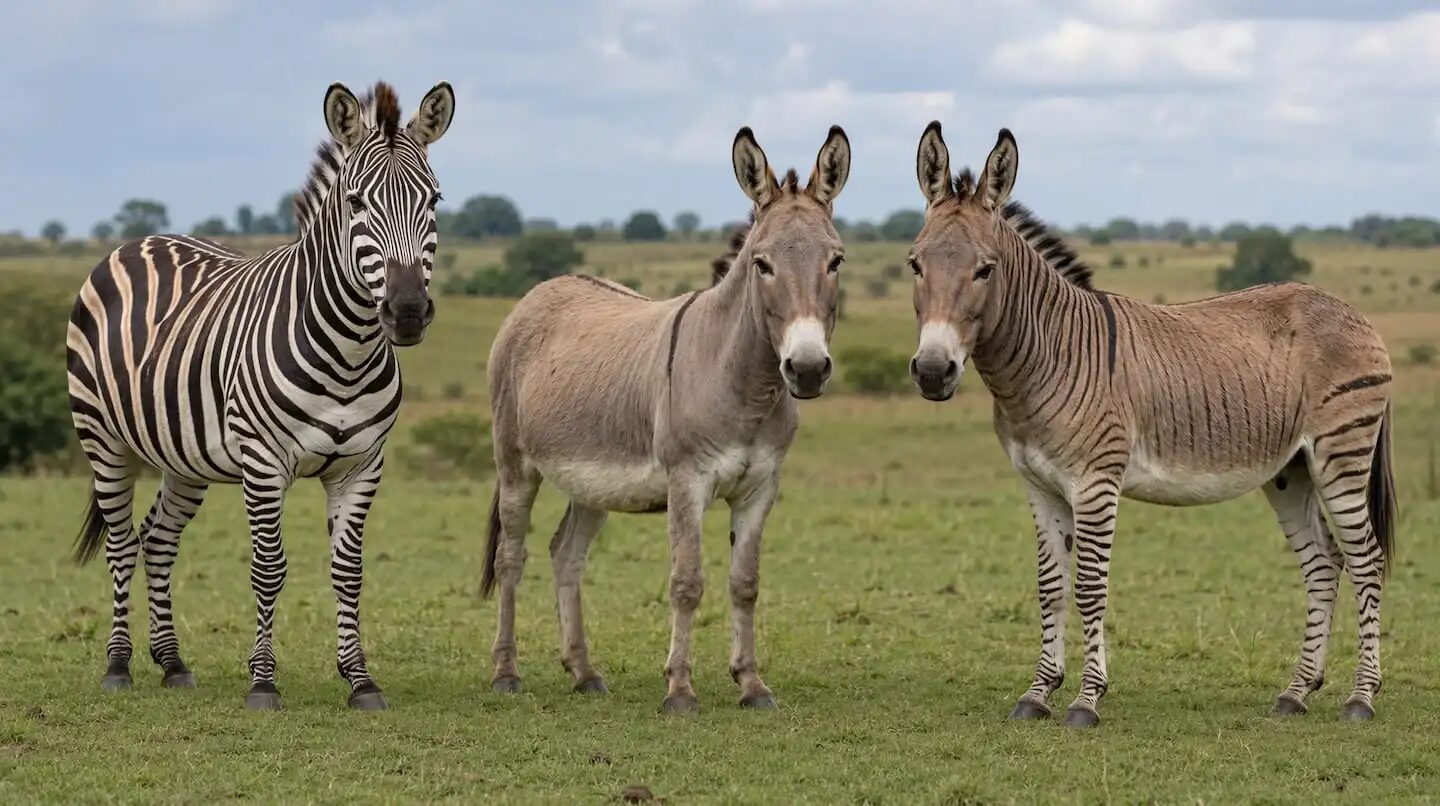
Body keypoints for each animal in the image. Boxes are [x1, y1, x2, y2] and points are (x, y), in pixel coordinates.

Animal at [66, 80, 455, 711]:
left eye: (435, 201)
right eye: (355, 203)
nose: (407, 312)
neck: (346, 354)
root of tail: (140, 240)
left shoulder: (361, 464)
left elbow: (349, 571)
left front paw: (360, 678)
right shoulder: (264, 462)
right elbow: (269, 569)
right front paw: (264, 682)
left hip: (184, 459)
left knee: (158, 542)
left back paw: (172, 663)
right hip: (102, 439)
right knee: (122, 544)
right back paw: (119, 665)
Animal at [907, 123, 1396, 726]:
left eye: (985, 270)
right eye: (915, 265)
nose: (932, 372)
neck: (1050, 355)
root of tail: (1355, 313)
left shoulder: (1096, 483)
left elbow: (1090, 588)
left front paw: (1087, 700)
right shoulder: (1039, 486)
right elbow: (1051, 587)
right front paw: (1038, 692)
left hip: (1342, 454)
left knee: (1367, 561)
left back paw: (1362, 697)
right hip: (1292, 470)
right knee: (1325, 564)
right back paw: (1297, 691)